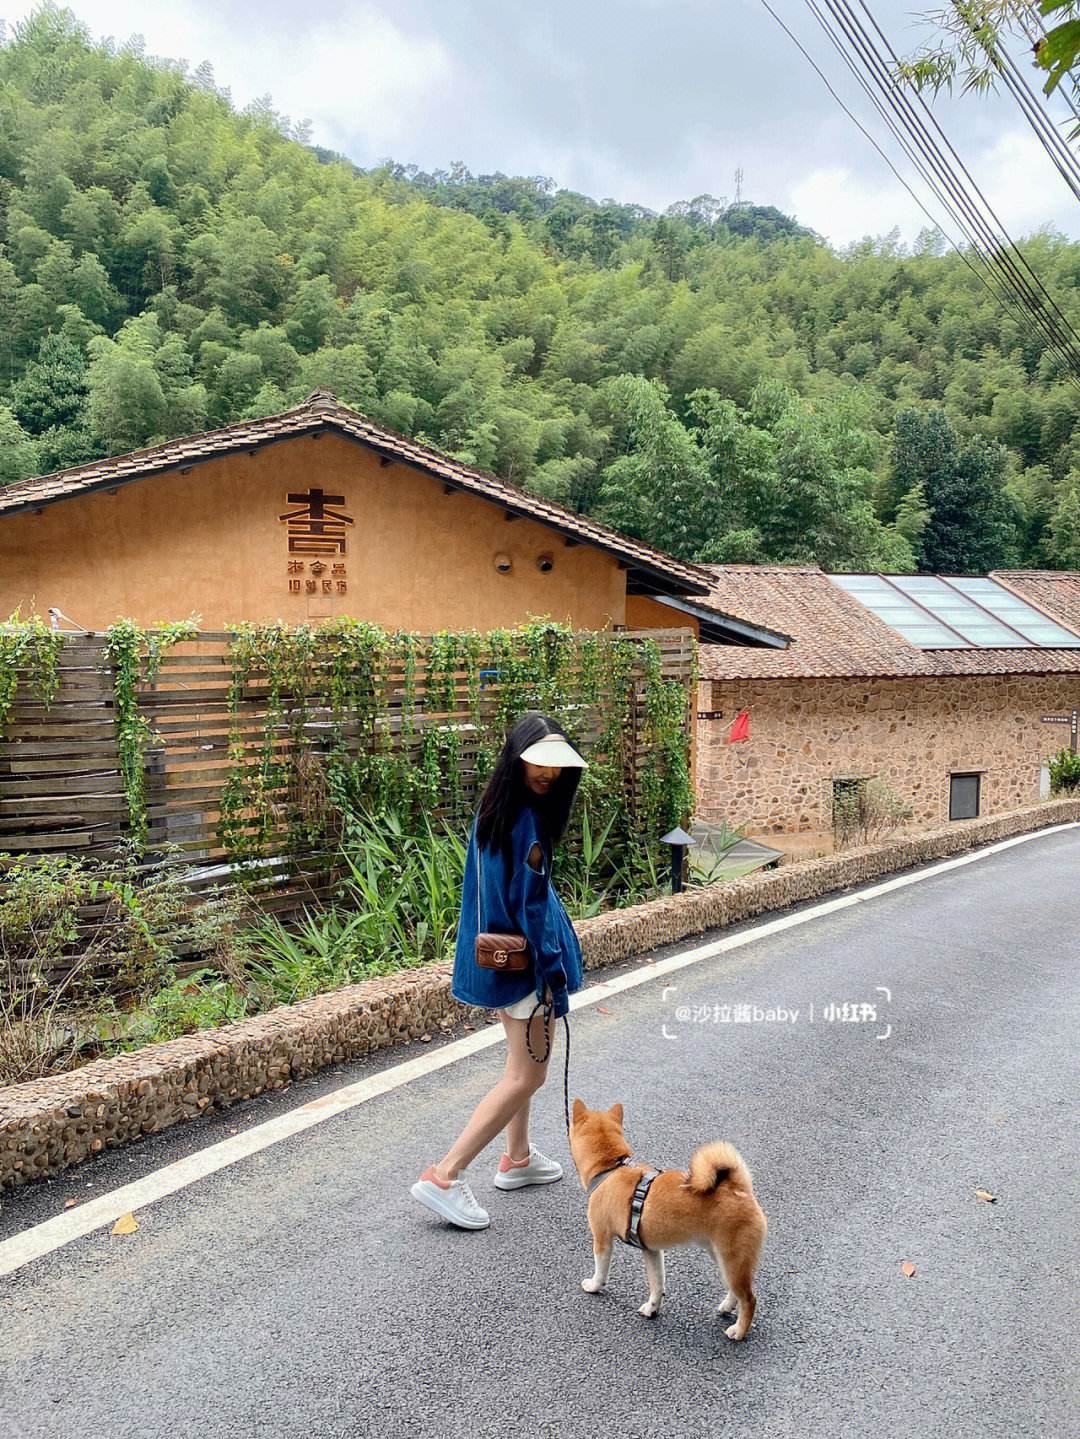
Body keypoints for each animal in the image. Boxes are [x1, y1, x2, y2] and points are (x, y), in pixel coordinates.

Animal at [566, 1099, 770, 1335]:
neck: (611, 1167)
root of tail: (739, 1190)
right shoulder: (651, 1250)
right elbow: (657, 1284)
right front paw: (652, 1308)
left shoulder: (602, 1238)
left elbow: (601, 1270)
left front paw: (593, 1286)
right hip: (722, 1257)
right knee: (735, 1291)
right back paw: (727, 1307)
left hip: (732, 1258)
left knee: (749, 1299)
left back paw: (739, 1331)